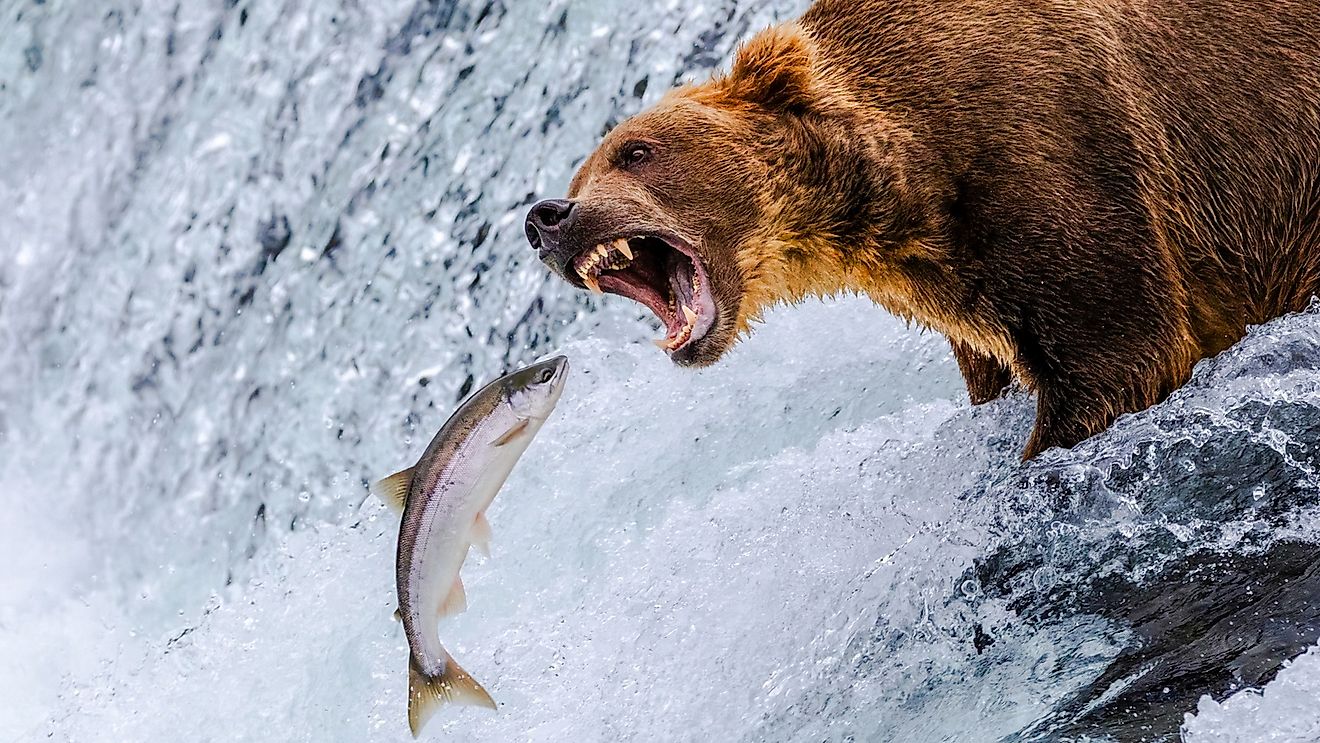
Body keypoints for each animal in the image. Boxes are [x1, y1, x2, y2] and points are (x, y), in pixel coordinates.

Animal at [524, 0, 1320, 459]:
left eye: (635, 150)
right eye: (579, 174)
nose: (546, 216)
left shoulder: (1054, 152)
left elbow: (1120, 353)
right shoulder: (967, 287)